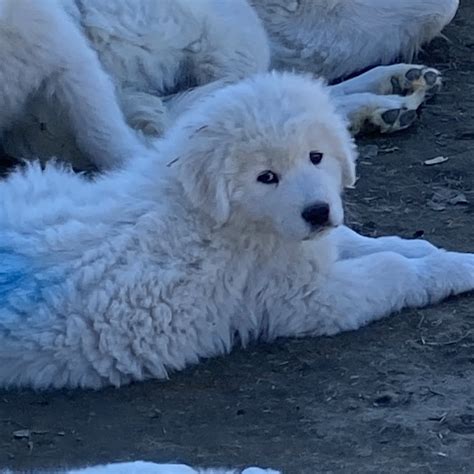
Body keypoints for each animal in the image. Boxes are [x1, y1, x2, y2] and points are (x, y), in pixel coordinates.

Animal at [0, 71, 474, 388]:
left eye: (316, 156)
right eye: (266, 177)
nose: (318, 212)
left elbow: (363, 241)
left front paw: (437, 253)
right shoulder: (305, 298)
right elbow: (391, 269)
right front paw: (451, 269)